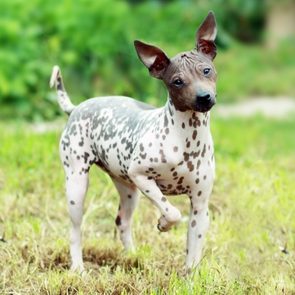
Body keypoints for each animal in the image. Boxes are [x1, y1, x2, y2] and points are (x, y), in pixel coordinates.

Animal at [50, 12, 217, 276]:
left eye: (207, 70)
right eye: (177, 81)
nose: (203, 97)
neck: (186, 139)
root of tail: (76, 108)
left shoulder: (200, 206)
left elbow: (193, 251)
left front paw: (188, 277)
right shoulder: (141, 176)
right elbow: (172, 211)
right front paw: (163, 223)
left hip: (128, 189)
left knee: (122, 222)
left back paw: (133, 257)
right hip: (77, 184)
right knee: (75, 230)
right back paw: (78, 267)